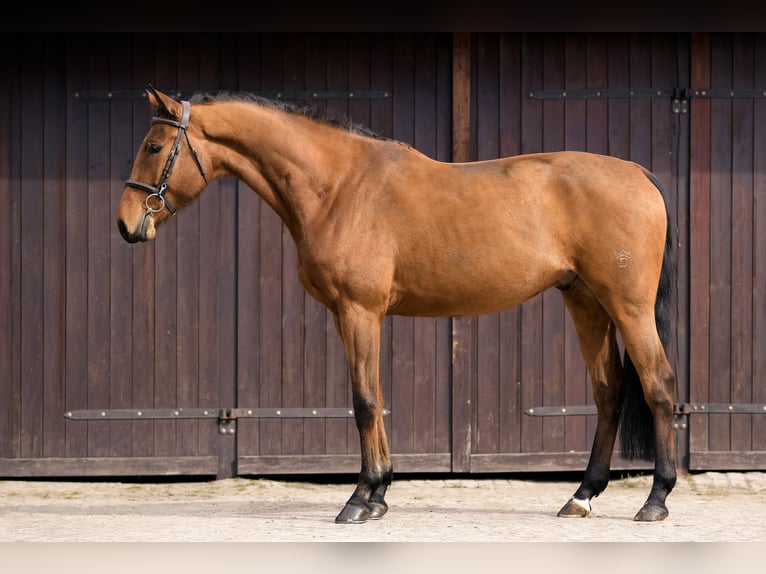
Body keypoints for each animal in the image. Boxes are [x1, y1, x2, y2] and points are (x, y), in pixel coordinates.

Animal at [117, 85, 677, 524]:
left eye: (153, 145)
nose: (126, 224)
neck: (339, 187)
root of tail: (640, 173)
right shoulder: (352, 316)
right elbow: (376, 397)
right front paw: (379, 493)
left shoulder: (358, 311)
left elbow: (365, 401)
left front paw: (360, 499)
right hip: (587, 303)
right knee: (608, 392)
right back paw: (581, 497)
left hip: (628, 308)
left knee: (658, 384)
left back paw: (655, 499)